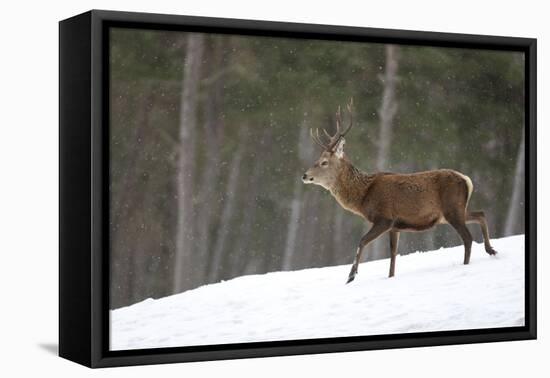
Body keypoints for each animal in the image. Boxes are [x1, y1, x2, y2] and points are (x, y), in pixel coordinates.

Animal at [302, 100, 500, 284]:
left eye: (324, 162)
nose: (305, 175)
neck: (363, 196)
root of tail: (467, 180)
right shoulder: (395, 226)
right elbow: (392, 256)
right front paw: (389, 277)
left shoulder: (384, 218)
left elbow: (362, 241)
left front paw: (351, 276)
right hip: (454, 211)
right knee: (480, 214)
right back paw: (491, 250)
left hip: (452, 209)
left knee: (468, 237)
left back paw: (467, 264)